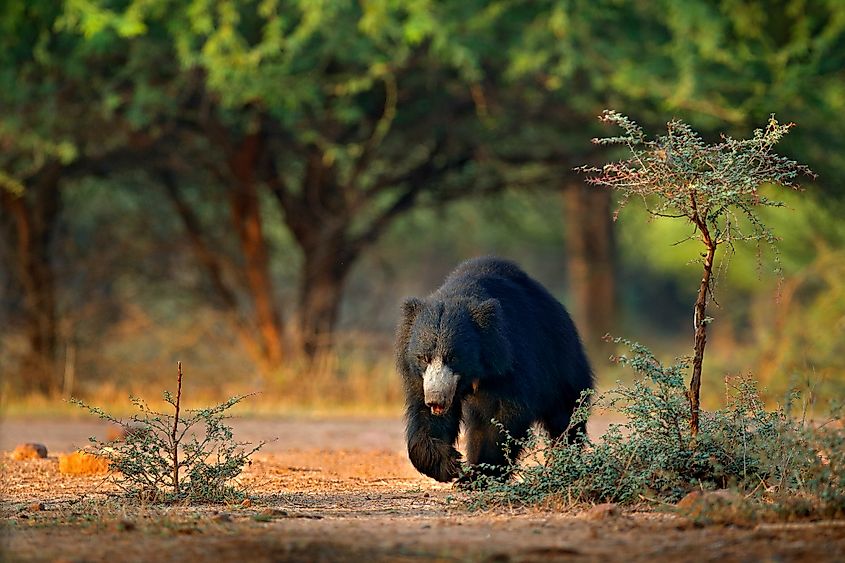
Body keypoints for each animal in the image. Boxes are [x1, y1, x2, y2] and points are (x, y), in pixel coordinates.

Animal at [395, 256, 594, 483]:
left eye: (453, 358)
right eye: (423, 358)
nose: (436, 399)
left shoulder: (509, 363)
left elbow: (501, 417)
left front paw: (476, 475)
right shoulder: (420, 378)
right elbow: (424, 415)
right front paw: (448, 464)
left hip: (561, 362)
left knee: (566, 414)